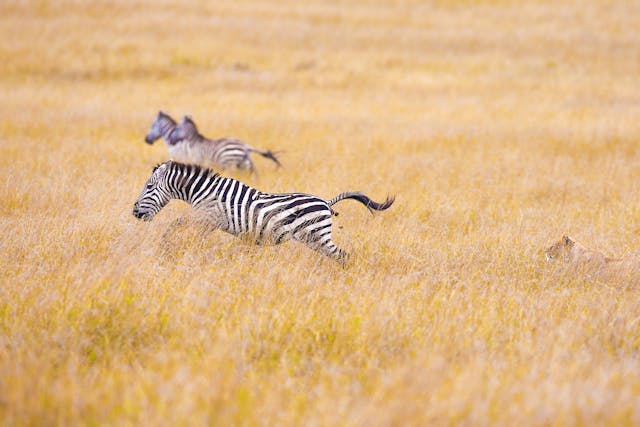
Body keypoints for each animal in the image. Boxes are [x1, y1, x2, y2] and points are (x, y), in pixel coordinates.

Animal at [132, 162, 396, 266]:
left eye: (149, 187)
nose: (134, 212)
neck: (204, 190)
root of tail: (325, 201)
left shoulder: (208, 215)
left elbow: (178, 222)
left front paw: (167, 243)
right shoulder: (208, 219)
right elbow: (183, 224)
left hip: (317, 236)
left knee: (343, 256)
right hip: (315, 239)